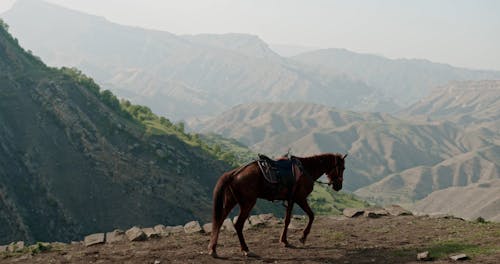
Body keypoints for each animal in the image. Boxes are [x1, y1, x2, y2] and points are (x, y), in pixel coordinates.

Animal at [208, 152, 348, 256]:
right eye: (342, 168)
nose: (339, 186)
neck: (306, 169)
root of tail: (234, 173)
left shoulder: (291, 200)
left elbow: (287, 220)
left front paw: (284, 240)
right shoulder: (300, 198)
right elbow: (311, 216)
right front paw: (303, 237)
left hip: (230, 202)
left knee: (219, 221)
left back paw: (213, 249)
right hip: (248, 203)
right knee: (238, 225)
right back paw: (245, 249)